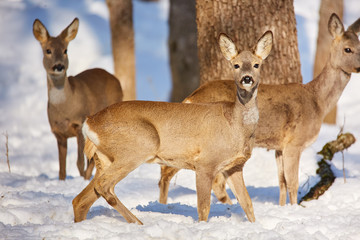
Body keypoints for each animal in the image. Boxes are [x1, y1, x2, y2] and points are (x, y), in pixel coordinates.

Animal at [33, 18, 124, 180]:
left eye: (65, 50)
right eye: (48, 50)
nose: (59, 66)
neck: (64, 109)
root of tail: (116, 80)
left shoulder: (79, 125)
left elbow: (80, 162)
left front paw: (83, 178)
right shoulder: (58, 133)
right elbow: (62, 168)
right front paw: (63, 181)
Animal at [71, 31, 272, 224]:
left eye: (256, 64)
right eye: (236, 65)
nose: (247, 78)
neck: (235, 126)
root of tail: (90, 122)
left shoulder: (234, 166)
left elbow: (247, 203)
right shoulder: (205, 163)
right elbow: (204, 208)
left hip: (105, 157)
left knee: (81, 199)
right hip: (138, 145)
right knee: (103, 186)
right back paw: (138, 222)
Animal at [159, 12, 360, 206]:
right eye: (347, 49)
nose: (359, 66)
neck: (317, 101)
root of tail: (189, 98)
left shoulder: (279, 146)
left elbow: (282, 182)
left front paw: (282, 208)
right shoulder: (294, 142)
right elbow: (293, 183)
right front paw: (295, 208)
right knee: (174, 172)